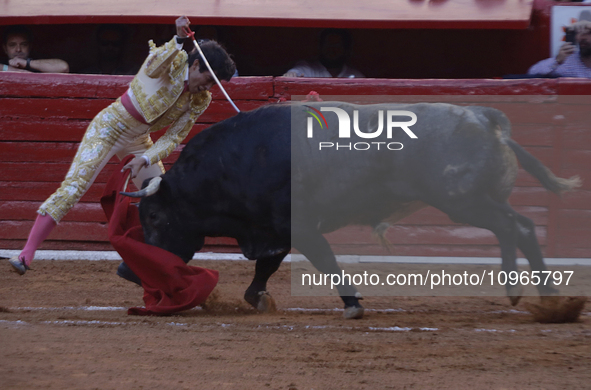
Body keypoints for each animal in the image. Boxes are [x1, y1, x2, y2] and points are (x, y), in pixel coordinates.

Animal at [122, 101, 580, 320]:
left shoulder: (299, 227)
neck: (231, 164)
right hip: (476, 200)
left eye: (155, 218)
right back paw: (548, 299)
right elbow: (264, 271)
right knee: (522, 226)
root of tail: (484, 118)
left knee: (510, 226)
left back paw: (523, 290)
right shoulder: (276, 232)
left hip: (461, 201)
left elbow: (326, 261)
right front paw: (259, 300)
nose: (127, 271)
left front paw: (353, 304)